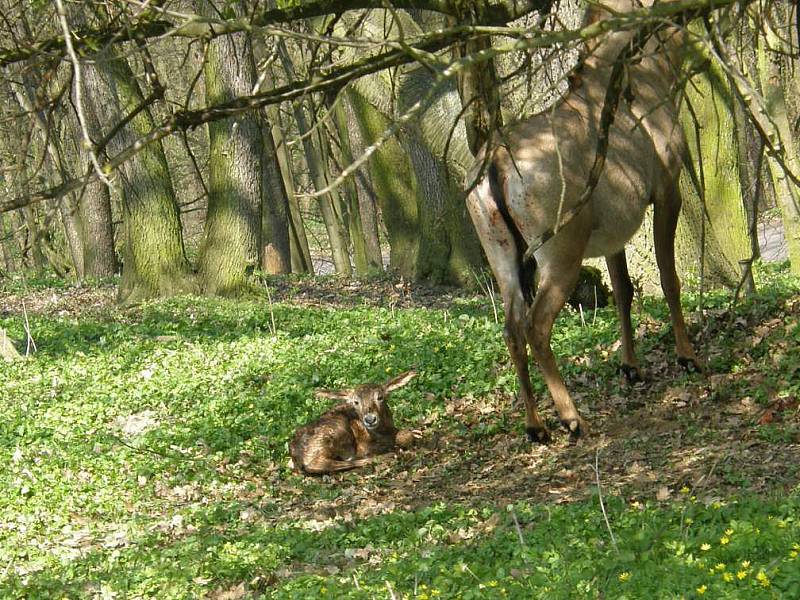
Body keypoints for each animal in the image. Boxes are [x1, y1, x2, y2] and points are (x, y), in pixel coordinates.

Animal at [462, 0, 700, 442]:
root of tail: (496, 162)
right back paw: (572, 418)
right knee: (536, 325)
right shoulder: (667, 191)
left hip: (502, 255)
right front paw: (687, 356)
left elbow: (623, 290)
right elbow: (668, 277)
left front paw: (630, 366)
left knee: (512, 327)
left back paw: (535, 425)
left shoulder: (611, 233)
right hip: (561, 253)